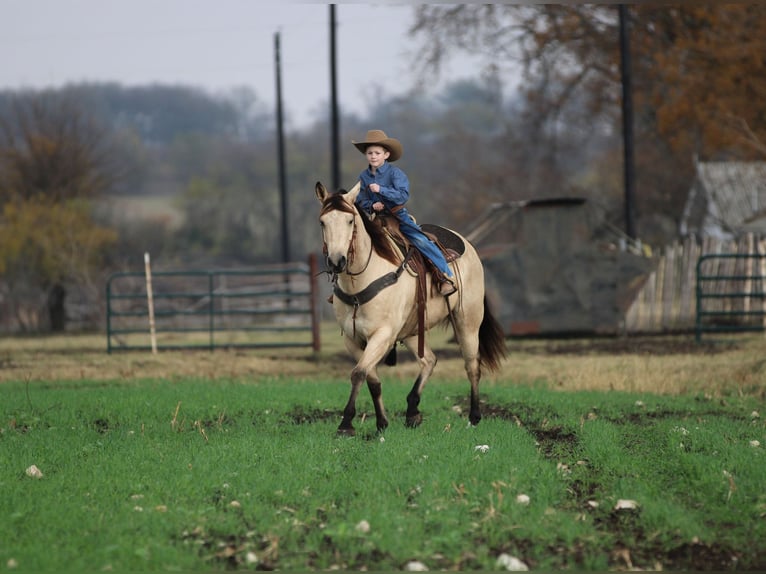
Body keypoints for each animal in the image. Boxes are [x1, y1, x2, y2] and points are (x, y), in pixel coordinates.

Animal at [316, 180, 508, 436]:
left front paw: (346, 424)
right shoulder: (352, 339)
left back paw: (474, 417)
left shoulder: (382, 335)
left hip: (467, 323)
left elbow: (358, 373)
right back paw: (412, 411)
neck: (362, 281)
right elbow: (371, 378)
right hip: (411, 330)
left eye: (350, 220)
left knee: (472, 366)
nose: (337, 261)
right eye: (323, 222)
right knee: (429, 360)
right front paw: (381, 423)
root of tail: (467, 244)